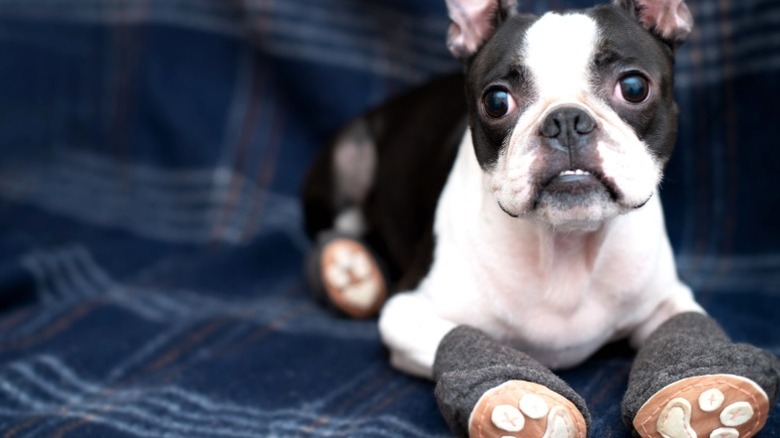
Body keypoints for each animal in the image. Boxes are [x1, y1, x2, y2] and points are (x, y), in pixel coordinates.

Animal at [302, 0, 776, 436]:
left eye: (634, 86)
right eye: (496, 101)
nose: (565, 119)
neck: (566, 244)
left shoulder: (667, 300)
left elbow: (682, 328)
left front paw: (704, 394)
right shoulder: (405, 312)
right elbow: (460, 339)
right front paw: (524, 404)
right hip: (350, 153)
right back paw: (348, 271)